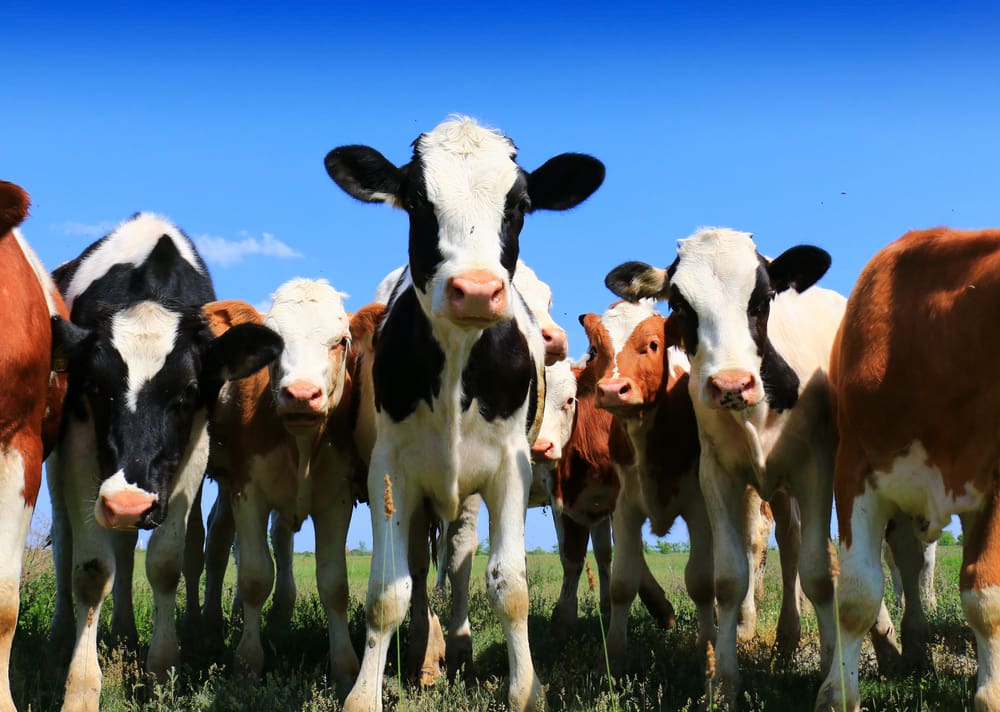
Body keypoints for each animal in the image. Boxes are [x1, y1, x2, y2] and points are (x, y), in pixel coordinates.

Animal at [47, 212, 283, 712]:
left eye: (188, 392)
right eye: (95, 387)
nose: (128, 504)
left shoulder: (193, 451)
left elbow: (165, 563)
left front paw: (160, 668)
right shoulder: (79, 446)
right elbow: (91, 569)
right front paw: (82, 686)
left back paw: (125, 633)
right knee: (63, 539)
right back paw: (62, 633)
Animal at [323, 115, 604, 712]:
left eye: (520, 204)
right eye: (416, 201)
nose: (475, 290)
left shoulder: (510, 469)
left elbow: (510, 585)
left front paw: (526, 689)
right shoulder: (390, 470)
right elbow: (388, 590)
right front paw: (364, 692)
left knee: (458, 561)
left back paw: (457, 644)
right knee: (420, 565)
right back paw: (425, 651)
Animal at [605, 227, 845, 702]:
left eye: (764, 297)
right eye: (680, 304)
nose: (732, 383)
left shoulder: (815, 471)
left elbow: (818, 572)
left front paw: (832, 678)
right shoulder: (716, 477)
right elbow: (729, 578)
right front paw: (724, 681)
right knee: (789, 542)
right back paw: (787, 638)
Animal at [814, 227, 1000, 711]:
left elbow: (984, 594)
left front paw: (990, 692)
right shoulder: (855, 469)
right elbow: (857, 595)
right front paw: (839, 692)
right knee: (909, 564)